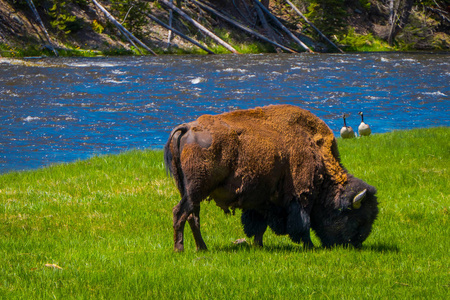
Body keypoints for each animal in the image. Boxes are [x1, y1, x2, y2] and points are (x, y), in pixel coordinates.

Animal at [163, 105, 378, 251]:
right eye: (357, 218)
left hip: (190, 191)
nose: (355, 244)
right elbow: (302, 223)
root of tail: (187, 128)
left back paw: (202, 247)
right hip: (196, 190)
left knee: (192, 216)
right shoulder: (301, 195)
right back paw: (180, 249)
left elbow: (258, 225)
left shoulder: (261, 199)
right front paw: (309, 246)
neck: (315, 150)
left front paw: (258, 246)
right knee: (180, 213)